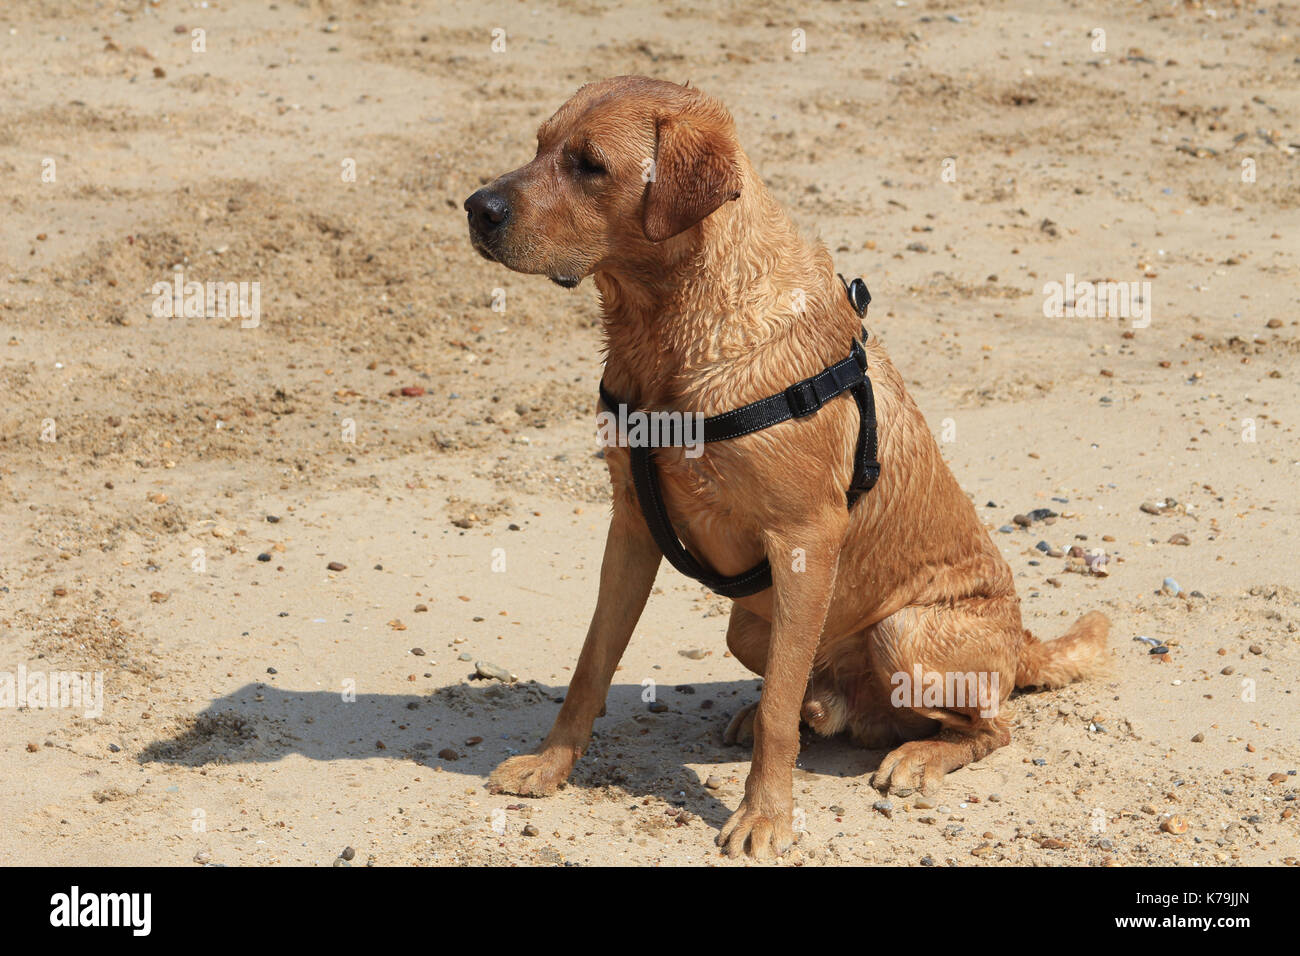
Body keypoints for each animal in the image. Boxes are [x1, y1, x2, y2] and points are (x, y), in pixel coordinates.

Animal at [462, 76, 1102, 858]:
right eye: (539, 145)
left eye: (590, 165)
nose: (476, 208)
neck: (670, 327)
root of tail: (1023, 644)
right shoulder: (632, 525)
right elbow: (591, 665)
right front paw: (551, 766)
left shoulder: (805, 540)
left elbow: (775, 713)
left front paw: (764, 816)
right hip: (750, 627)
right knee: (820, 697)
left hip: (904, 632)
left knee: (986, 724)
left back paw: (917, 755)